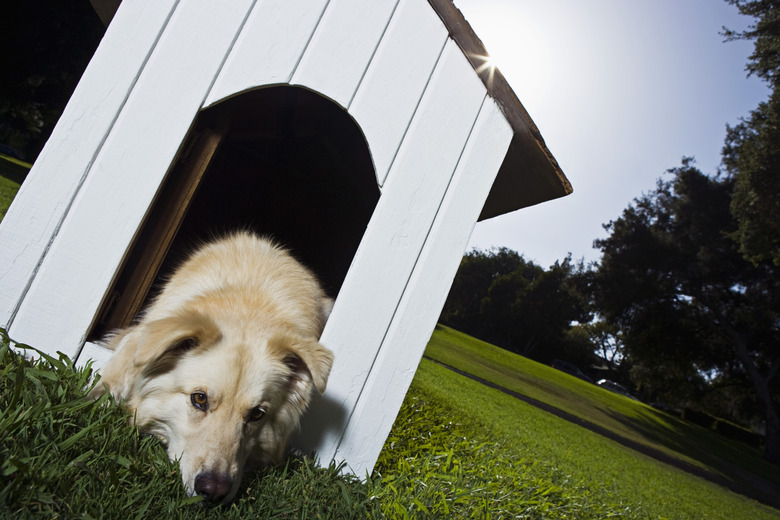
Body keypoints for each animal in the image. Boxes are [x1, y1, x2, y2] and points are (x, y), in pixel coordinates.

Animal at [90, 232, 334, 504]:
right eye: (199, 399)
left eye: (257, 414)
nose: (213, 492)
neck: (250, 307)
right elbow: (123, 361)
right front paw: (96, 397)